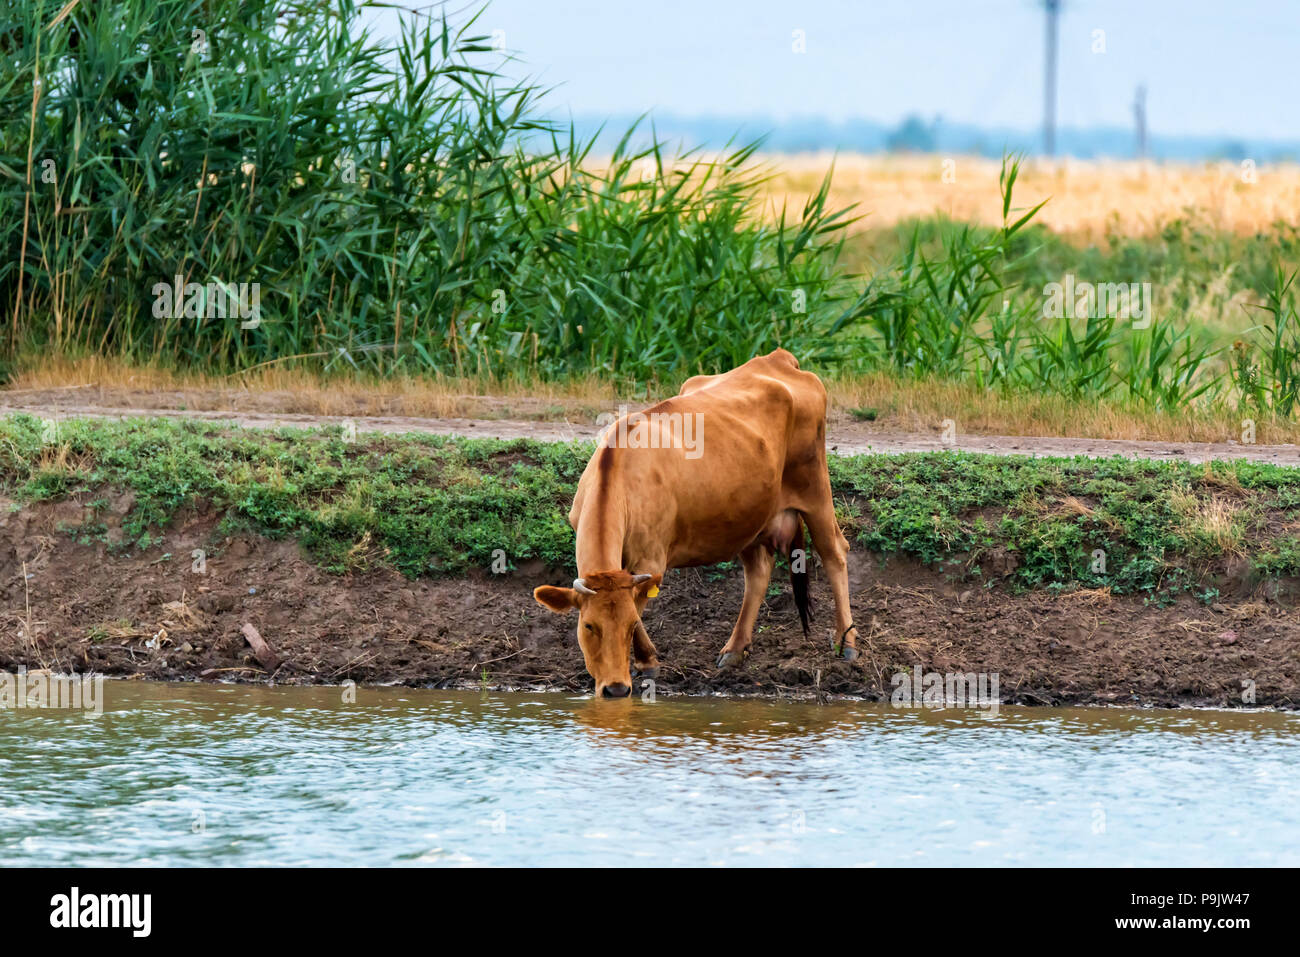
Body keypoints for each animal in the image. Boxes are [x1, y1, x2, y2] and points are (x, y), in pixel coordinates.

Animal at [530, 348, 852, 696]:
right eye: (589, 625)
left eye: (629, 626)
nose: (616, 689)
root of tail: (776, 358)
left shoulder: (651, 562)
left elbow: (640, 605)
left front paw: (646, 662)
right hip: (748, 513)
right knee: (758, 571)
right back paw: (735, 649)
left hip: (814, 487)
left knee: (834, 551)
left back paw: (847, 641)